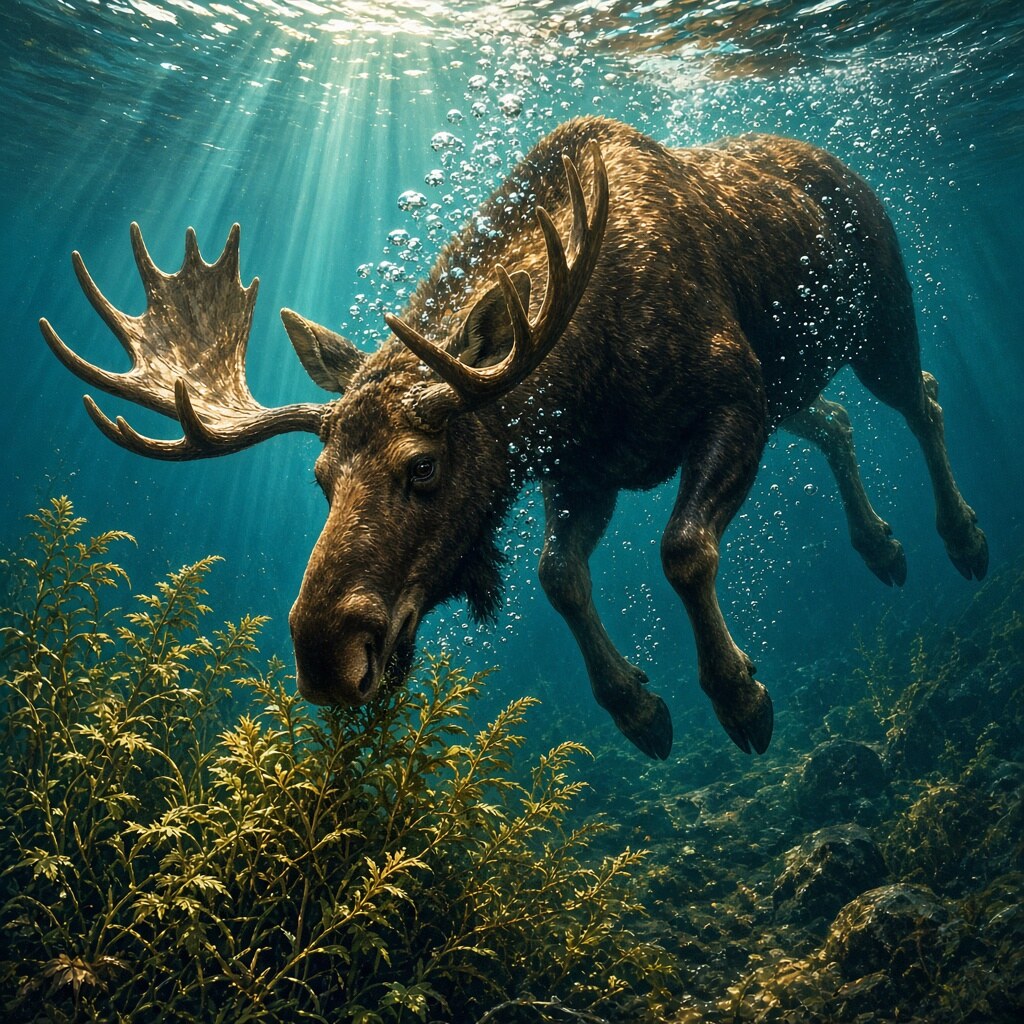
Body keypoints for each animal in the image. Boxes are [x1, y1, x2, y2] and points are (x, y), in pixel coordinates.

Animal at [40, 116, 988, 760]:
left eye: (423, 468)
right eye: (318, 479)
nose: (322, 655)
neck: (579, 370)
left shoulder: (734, 397)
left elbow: (683, 550)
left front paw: (740, 696)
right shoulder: (582, 472)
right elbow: (558, 576)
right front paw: (638, 708)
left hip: (878, 320)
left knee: (924, 400)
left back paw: (962, 537)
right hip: (800, 370)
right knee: (835, 421)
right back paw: (881, 544)